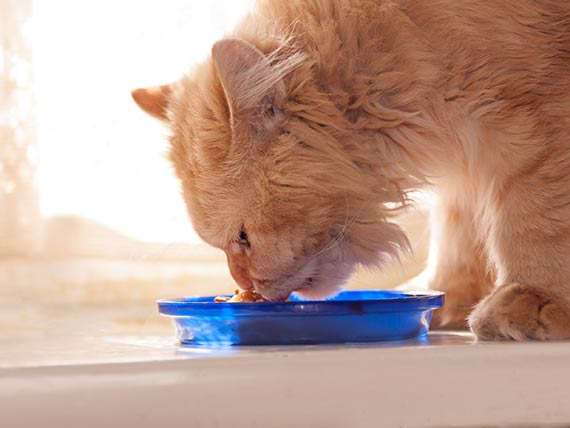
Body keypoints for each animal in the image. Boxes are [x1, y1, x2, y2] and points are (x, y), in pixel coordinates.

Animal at [131, 0, 568, 342]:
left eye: (243, 237)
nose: (243, 285)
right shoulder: (467, 166)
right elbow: (459, 237)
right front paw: (446, 297)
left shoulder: (539, 124)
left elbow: (536, 222)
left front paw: (534, 297)